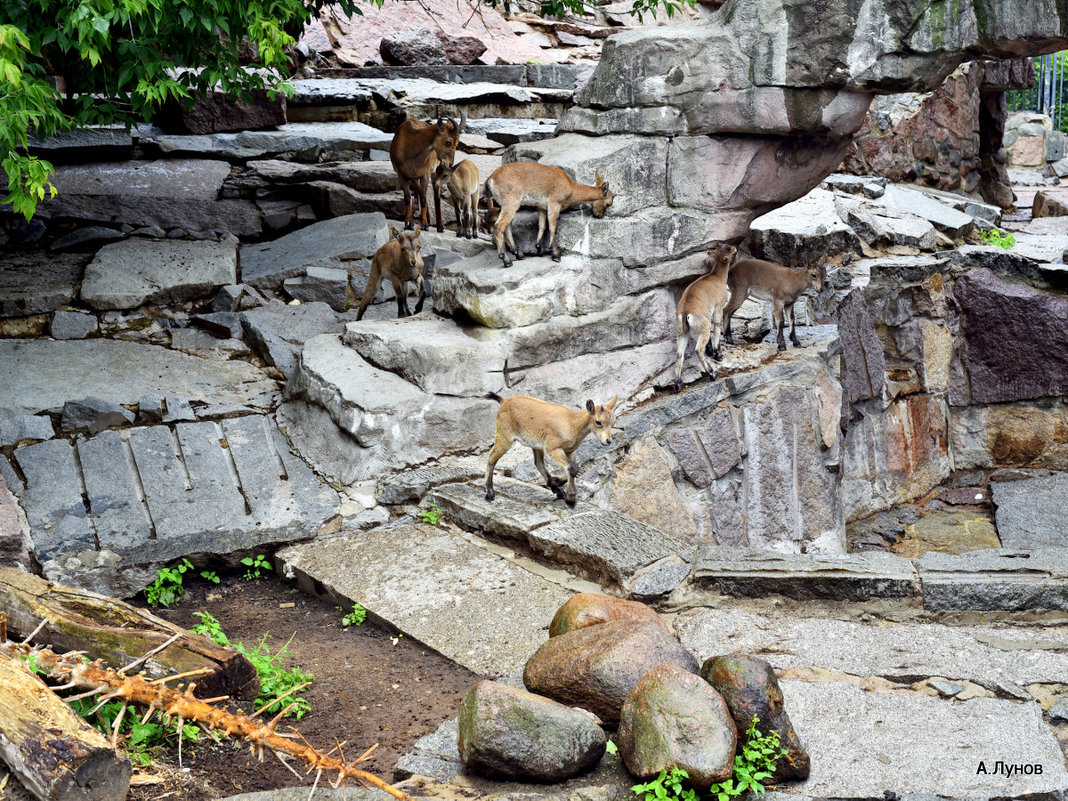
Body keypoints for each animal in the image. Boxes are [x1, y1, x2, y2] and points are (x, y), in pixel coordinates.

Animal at [484, 395, 619, 508]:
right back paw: (489, 493)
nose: (608, 441)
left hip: (536, 445)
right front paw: (570, 499)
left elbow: (574, 468)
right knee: (492, 458)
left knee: (538, 463)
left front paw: (557, 483)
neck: (572, 423)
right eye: (598, 422)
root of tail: (504, 402)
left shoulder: (570, 450)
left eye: (613, 422)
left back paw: (556, 489)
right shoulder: (553, 448)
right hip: (505, 437)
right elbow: (571, 467)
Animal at [674, 244, 734, 395]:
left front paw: (712, 351)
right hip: (703, 327)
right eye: (728, 249)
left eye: (721, 247)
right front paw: (718, 354)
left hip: (681, 332)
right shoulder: (718, 307)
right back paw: (712, 373)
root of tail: (685, 313)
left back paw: (677, 385)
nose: (734, 247)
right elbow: (717, 326)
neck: (717, 278)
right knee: (698, 350)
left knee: (679, 354)